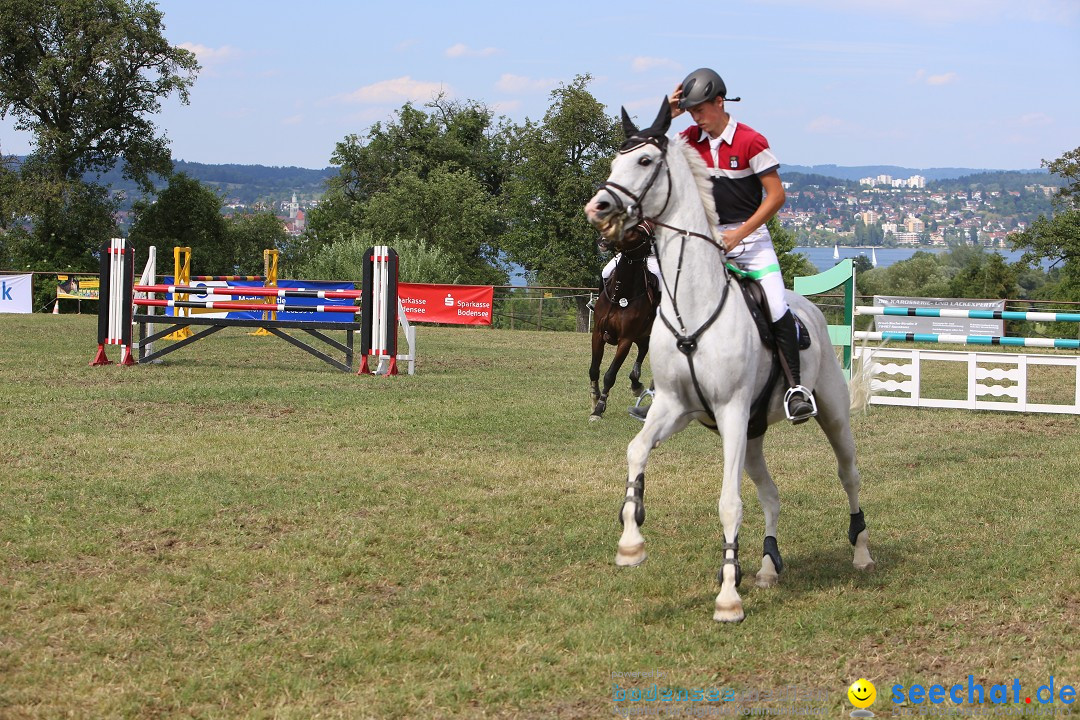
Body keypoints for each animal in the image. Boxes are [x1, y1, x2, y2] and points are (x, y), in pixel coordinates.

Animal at [591, 222, 656, 418]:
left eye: (635, 231)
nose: (603, 240)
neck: (621, 293)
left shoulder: (626, 339)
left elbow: (610, 375)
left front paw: (599, 409)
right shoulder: (598, 333)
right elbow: (594, 369)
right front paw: (594, 397)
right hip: (642, 334)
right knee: (643, 348)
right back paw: (635, 382)